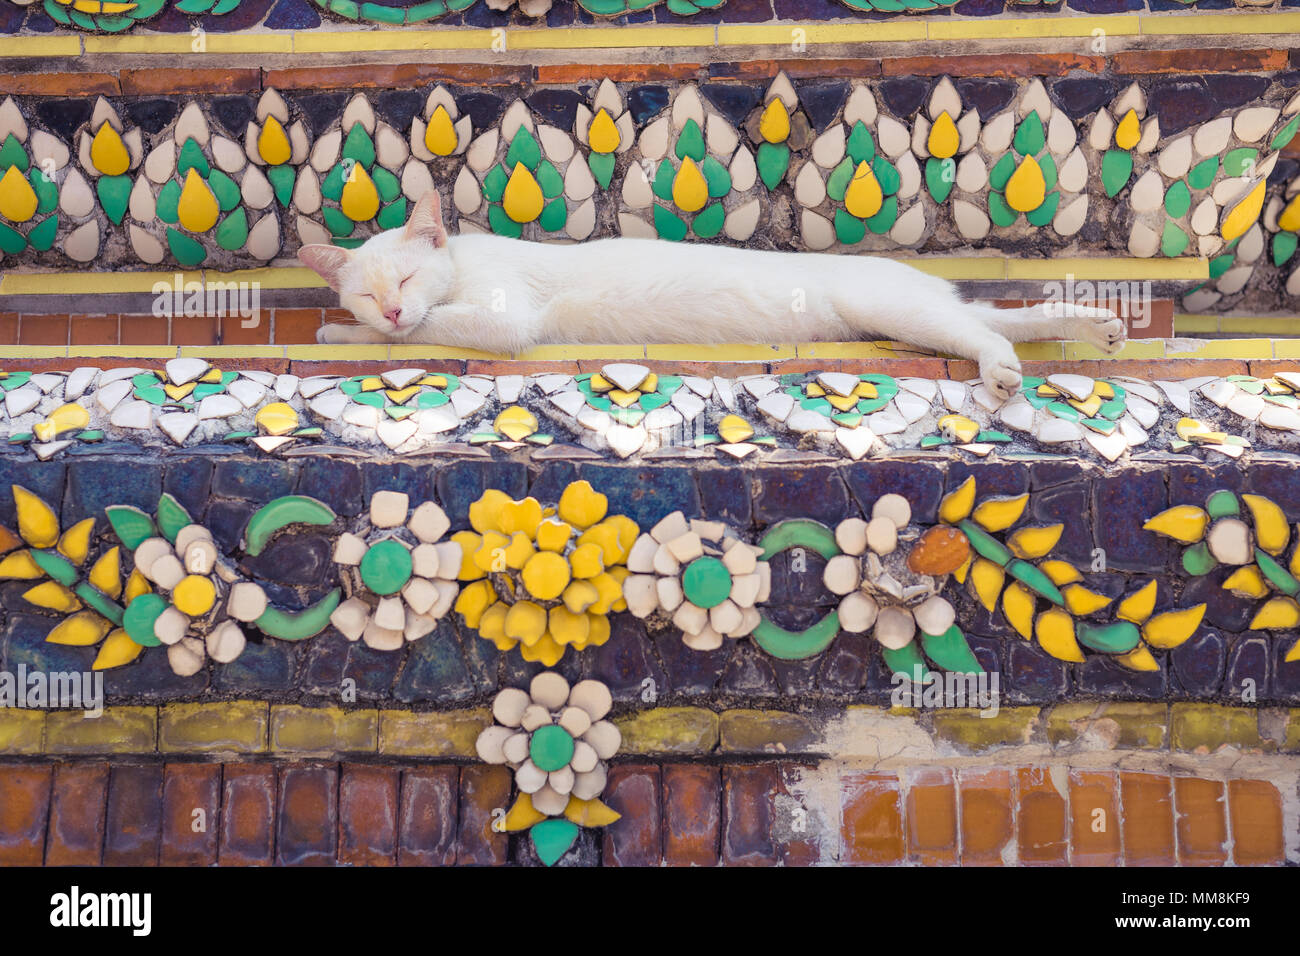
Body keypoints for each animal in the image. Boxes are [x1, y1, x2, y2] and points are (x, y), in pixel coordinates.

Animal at [299, 187, 1123, 400]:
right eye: (369, 292)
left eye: (405, 279)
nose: (390, 306)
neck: (462, 264)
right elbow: (401, 333)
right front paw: (349, 330)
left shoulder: (504, 321)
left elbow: (431, 330)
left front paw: (353, 335)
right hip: (919, 315)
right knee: (1007, 319)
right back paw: (1100, 327)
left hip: (892, 309)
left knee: (988, 334)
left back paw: (1004, 372)